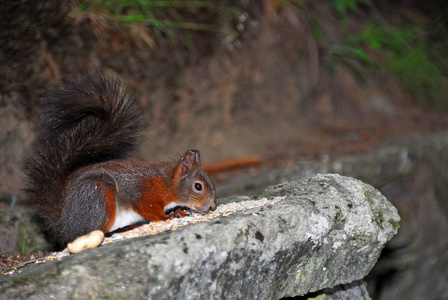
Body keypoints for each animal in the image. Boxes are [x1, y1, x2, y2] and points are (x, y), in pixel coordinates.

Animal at [24, 73, 217, 246]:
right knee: (96, 230)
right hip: (99, 196)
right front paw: (170, 215)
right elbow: (149, 210)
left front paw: (179, 211)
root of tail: (65, 224)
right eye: (198, 186)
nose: (212, 207)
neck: (166, 182)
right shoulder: (143, 193)